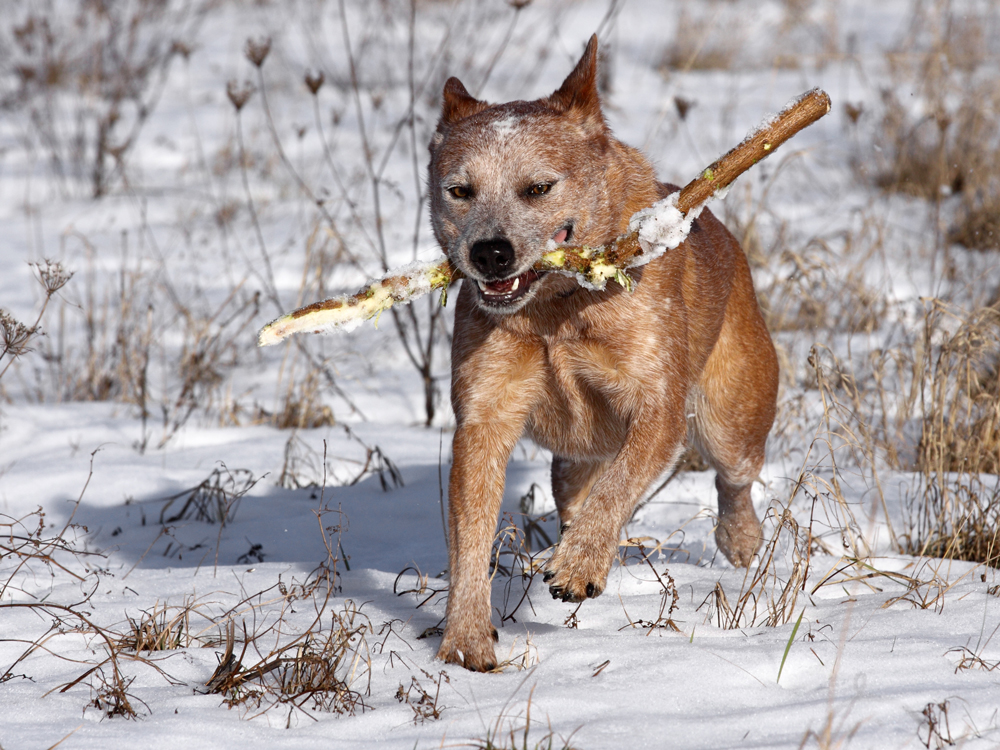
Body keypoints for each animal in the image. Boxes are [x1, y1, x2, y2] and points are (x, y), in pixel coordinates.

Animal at [426, 35, 776, 672]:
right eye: (459, 191)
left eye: (537, 188)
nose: (490, 252)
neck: (555, 313)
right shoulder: (484, 417)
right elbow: (470, 533)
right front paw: (465, 638)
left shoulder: (659, 407)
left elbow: (626, 476)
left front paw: (579, 564)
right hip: (575, 460)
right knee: (576, 489)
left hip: (729, 417)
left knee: (733, 476)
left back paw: (739, 541)